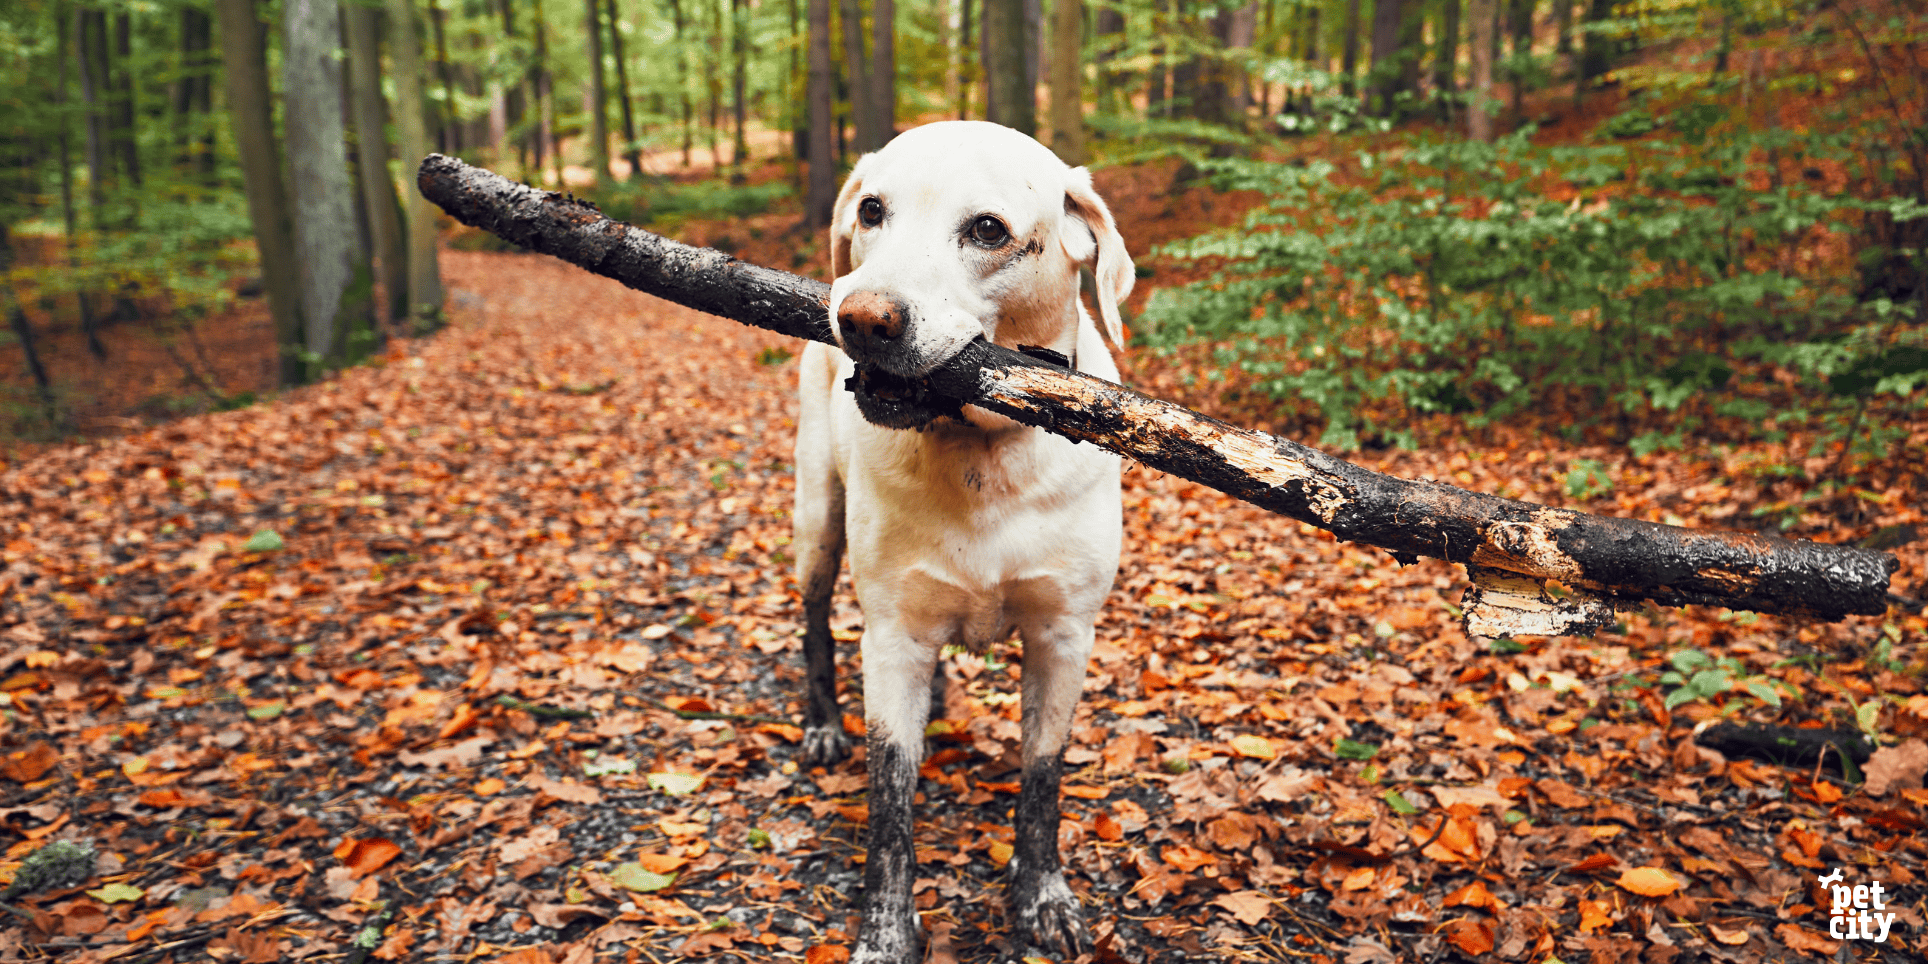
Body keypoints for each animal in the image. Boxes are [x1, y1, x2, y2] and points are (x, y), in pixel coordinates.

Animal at [790, 124, 1133, 960]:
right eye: (871, 211)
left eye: (987, 230)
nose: (861, 318)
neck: (983, 454)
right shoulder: (892, 638)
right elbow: (890, 802)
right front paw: (885, 931)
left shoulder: (1063, 635)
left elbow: (1042, 778)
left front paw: (1041, 899)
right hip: (816, 522)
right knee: (813, 617)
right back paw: (822, 724)